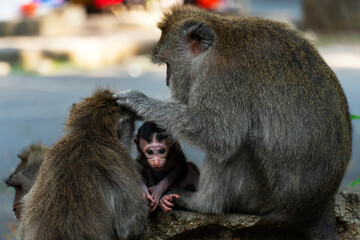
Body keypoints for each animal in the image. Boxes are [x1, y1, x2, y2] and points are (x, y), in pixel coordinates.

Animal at [114, 6, 352, 240]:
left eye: (168, 63)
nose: (166, 81)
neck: (219, 41)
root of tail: (320, 205)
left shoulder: (220, 78)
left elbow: (217, 133)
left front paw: (141, 102)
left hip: (260, 197)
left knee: (236, 145)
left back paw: (204, 203)